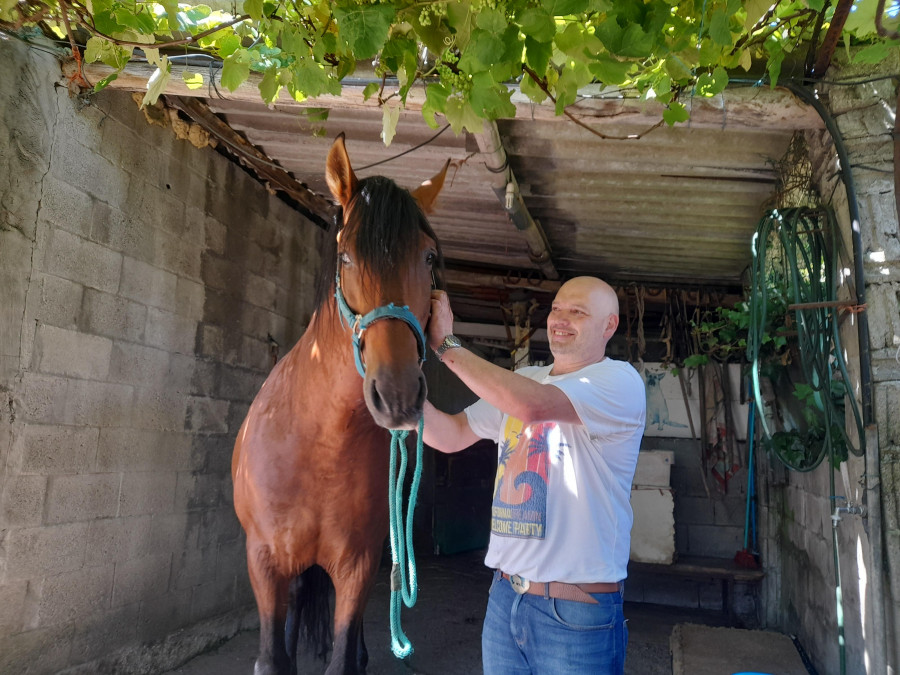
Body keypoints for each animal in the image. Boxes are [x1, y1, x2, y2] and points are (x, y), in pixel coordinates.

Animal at [229, 133, 446, 675]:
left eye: (429, 258)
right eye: (345, 257)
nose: (398, 395)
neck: (317, 442)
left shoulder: (358, 564)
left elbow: (345, 655)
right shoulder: (263, 561)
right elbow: (273, 659)